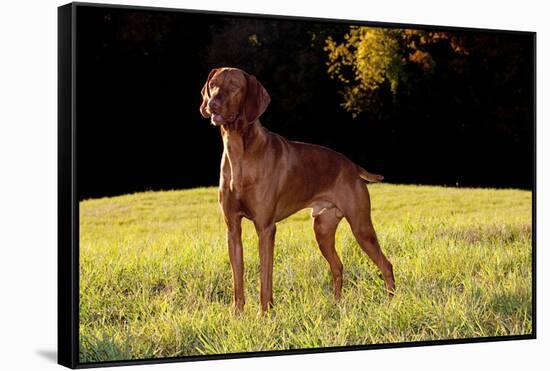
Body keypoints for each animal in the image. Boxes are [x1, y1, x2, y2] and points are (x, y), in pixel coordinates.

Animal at [201, 67, 394, 314]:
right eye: (213, 84)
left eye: (234, 85)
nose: (212, 103)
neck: (239, 152)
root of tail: (352, 166)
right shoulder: (232, 228)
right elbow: (237, 280)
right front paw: (237, 314)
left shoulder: (266, 228)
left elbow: (265, 280)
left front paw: (264, 314)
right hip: (322, 229)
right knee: (338, 266)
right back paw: (337, 304)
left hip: (361, 227)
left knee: (386, 265)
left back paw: (391, 303)